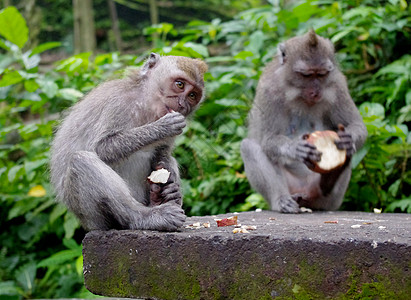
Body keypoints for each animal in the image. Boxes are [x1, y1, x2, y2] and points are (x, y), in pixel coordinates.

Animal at [50, 52, 208, 231]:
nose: (182, 105)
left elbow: (162, 156)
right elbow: (101, 148)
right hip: (92, 217)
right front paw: (163, 127)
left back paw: (157, 199)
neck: (146, 107)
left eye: (192, 95)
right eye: (180, 85)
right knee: (81, 160)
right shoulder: (118, 103)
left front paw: (172, 189)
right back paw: (146, 217)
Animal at [240, 29, 368, 213]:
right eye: (307, 75)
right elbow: (268, 139)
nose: (316, 91)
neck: (297, 92)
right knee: (248, 147)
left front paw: (347, 140)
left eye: (321, 74)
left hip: (329, 200)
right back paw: (282, 200)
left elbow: (357, 125)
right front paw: (296, 148)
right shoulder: (269, 90)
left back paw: (330, 179)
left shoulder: (338, 86)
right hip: (291, 186)